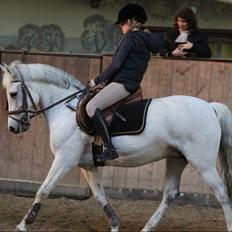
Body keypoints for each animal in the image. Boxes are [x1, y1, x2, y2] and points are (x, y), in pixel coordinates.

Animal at [1, 60, 232, 232]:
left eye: (13, 94)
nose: (13, 127)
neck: (66, 110)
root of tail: (210, 107)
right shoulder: (87, 165)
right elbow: (100, 195)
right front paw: (115, 224)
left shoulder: (64, 160)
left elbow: (43, 190)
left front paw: (22, 225)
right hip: (177, 158)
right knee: (170, 195)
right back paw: (147, 228)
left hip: (202, 163)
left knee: (223, 194)